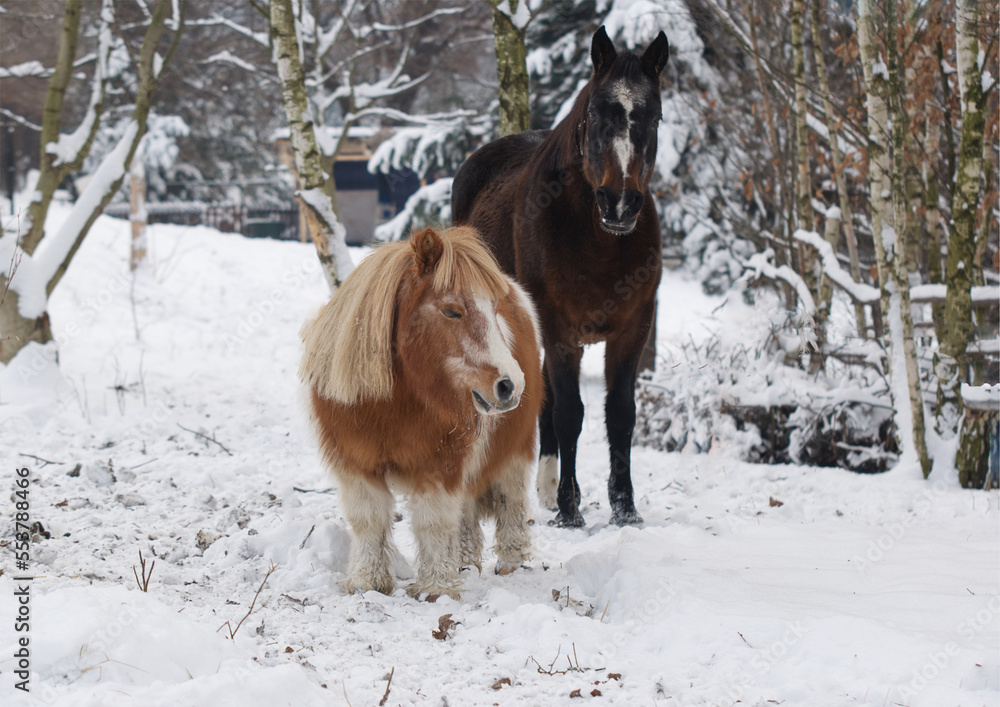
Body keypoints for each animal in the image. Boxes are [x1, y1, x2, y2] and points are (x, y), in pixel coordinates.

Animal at [299, 225, 543, 599]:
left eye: (493, 309)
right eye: (451, 311)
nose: (510, 385)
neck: (392, 404)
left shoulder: (441, 465)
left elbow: (434, 521)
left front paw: (436, 588)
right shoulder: (355, 464)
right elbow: (368, 518)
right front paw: (367, 581)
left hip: (516, 448)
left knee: (510, 500)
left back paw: (511, 562)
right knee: (466, 513)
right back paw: (465, 563)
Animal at [451, 26, 668, 528]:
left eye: (654, 115)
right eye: (594, 112)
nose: (619, 203)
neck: (598, 241)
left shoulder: (633, 328)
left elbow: (619, 414)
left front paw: (624, 508)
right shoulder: (560, 328)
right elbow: (569, 412)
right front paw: (571, 509)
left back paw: (548, 489)